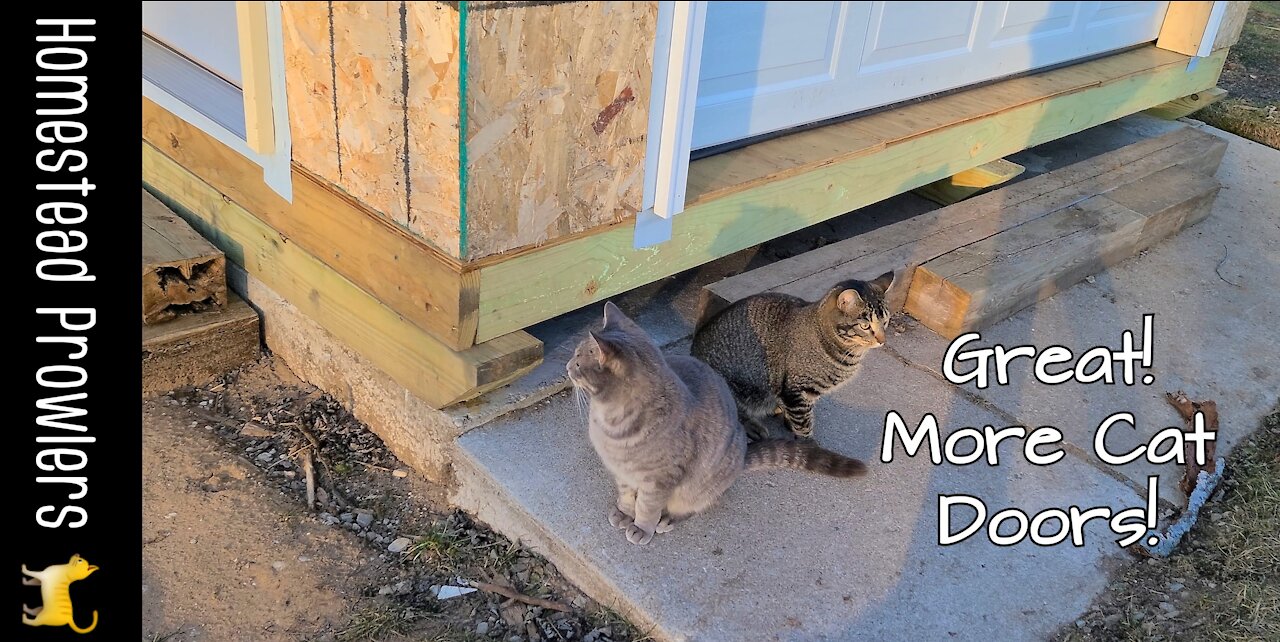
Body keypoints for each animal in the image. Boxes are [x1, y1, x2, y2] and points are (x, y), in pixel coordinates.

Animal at [570, 303, 870, 544]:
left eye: (578, 362)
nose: (567, 367)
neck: (609, 423)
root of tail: (742, 456)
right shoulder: (622, 472)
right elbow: (626, 495)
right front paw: (624, 512)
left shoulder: (659, 480)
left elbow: (647, 506)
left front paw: (642, 527)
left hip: (697, 488)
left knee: (693, 506)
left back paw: (668, 520)